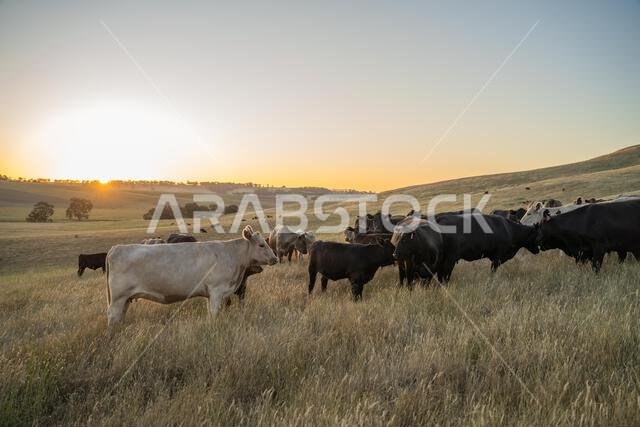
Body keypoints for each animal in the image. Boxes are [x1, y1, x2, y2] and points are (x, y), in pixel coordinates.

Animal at [105, 225, 278, 325]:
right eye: (262, 245)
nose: (275, 258)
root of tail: (115, 248)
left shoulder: (211, 294)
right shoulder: (216, 291)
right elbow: (214, 314)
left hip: (125, 299)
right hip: (118, 298)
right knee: (113, 317)